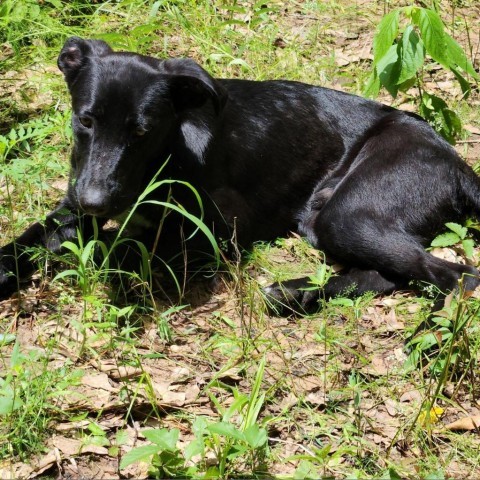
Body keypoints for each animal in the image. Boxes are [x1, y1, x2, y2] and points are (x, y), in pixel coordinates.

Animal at [0, 35, 480, 310]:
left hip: (349, 214)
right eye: (85, 120)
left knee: (455, 275)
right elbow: (32, 239)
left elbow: (116, 251)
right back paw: (295, 293)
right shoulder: (71, 204)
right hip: (322, 221)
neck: (168, 156)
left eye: (141, 130)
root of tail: (459, 165)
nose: (95, 203)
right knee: (386, 276)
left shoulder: (216, 232)